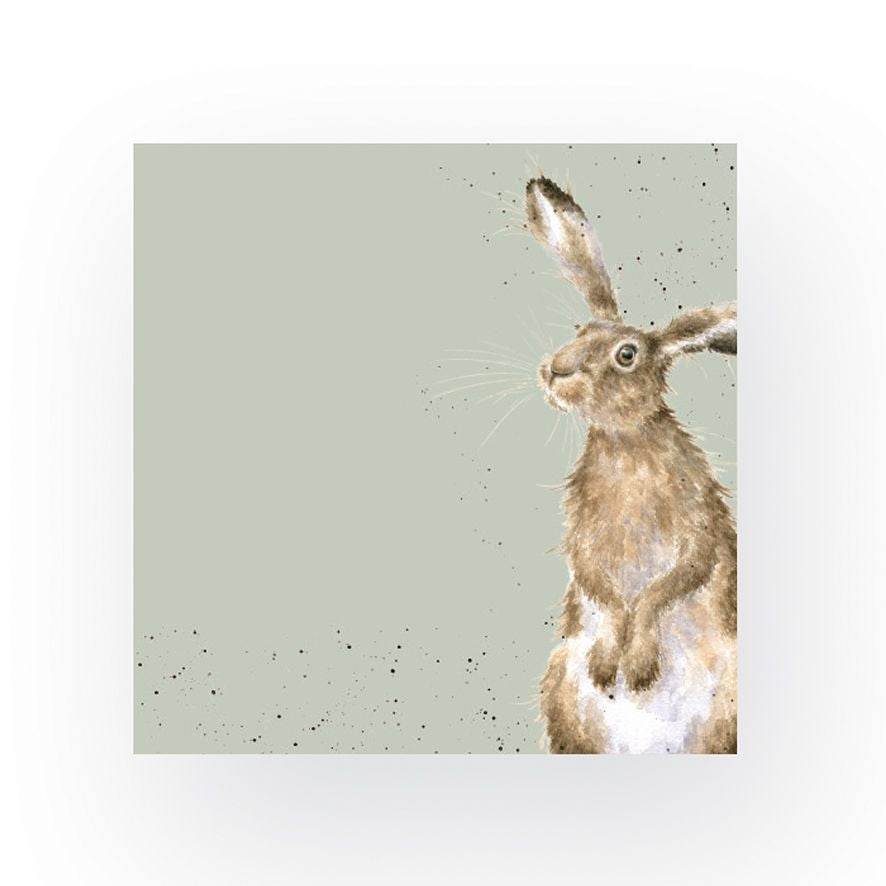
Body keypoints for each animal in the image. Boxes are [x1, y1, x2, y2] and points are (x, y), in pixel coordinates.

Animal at [526, 177, 737, 754]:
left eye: (626, 355)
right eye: (580, 328)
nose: (555, 371)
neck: (626, 443)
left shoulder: (699, 520)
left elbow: (672, 582)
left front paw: (636, 664)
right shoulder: (582, 533)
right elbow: (596, 582)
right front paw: (609, 661)